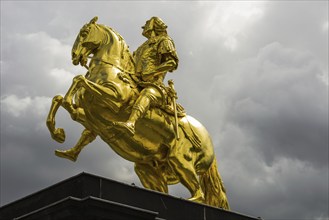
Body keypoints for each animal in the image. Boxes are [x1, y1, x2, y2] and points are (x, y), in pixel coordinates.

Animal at [46, 17, 228, 210]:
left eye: (84, 33)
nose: (74, 56)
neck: (112, 70)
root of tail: (208, 139)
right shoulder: (90, 118)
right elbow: (61, 100)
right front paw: (58, 134)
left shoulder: (114, 99)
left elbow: (78, 80)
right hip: (147, 169)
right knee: (166, 190)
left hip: (180, 161)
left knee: (199, 194)